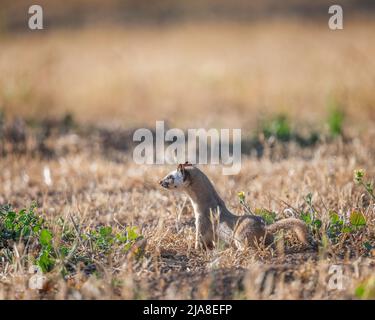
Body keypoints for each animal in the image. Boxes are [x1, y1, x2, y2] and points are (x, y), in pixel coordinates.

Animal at [159, 164, 308, 251]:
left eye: (170, 176)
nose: (160, 181)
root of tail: (263, 227)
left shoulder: (201, 221)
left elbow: (199, 240)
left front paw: (194, 248)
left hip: (240, 236)